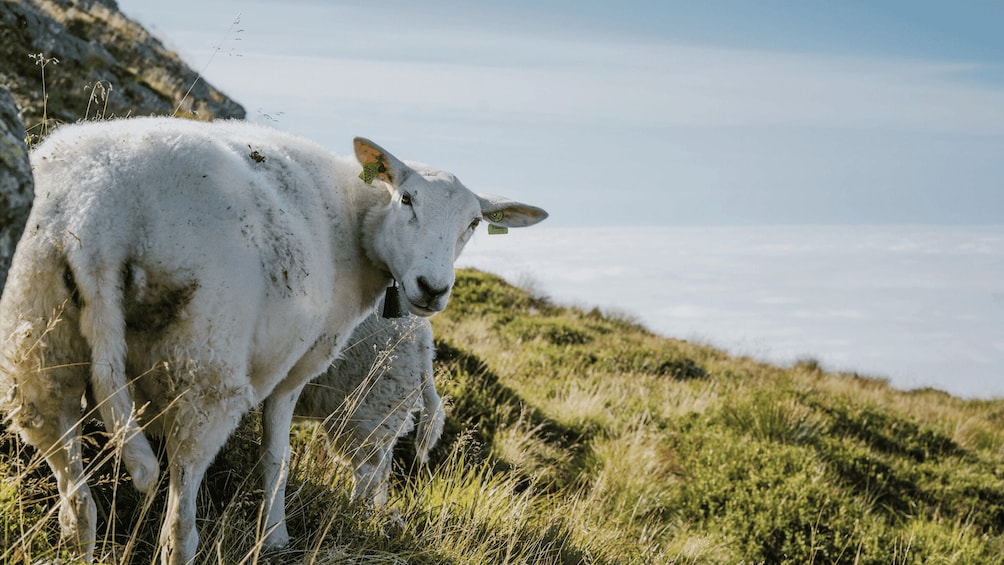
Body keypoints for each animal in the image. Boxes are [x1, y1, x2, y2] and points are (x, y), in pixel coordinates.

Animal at [293, 311, 443, 505]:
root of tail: (422, 334)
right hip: (383, 411)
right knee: (384, 465)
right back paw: (375, 508)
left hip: (360, 409)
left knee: (369, 468)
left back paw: (352, 508)